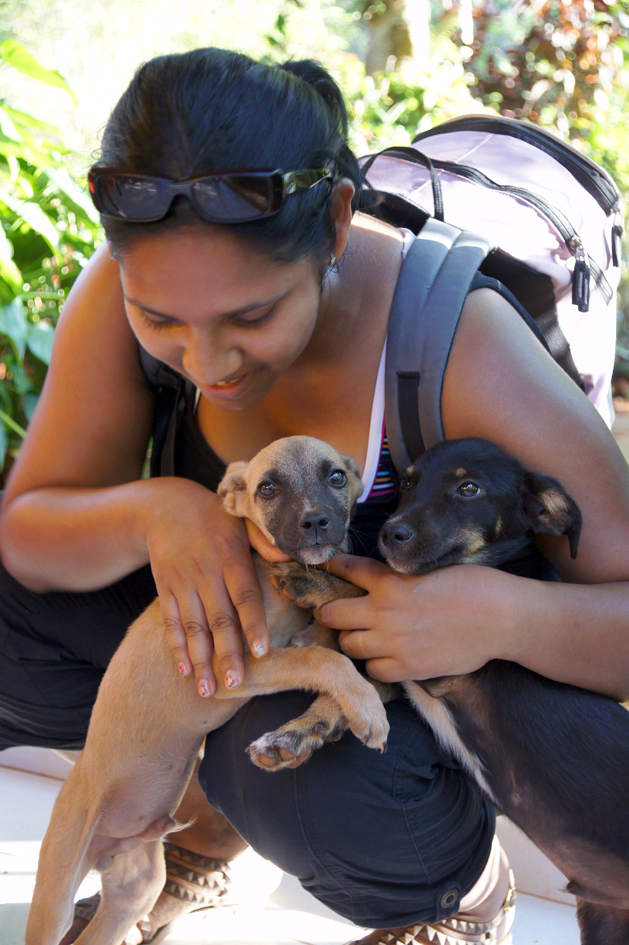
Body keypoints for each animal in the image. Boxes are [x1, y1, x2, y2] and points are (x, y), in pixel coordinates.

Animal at [28, 438, 388, 944]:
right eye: (267, 488)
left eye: (336, 477)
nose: (316, 522)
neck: (266, 573)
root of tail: (110, 846)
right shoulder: (232, 667)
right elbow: (322, 659)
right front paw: (367, 706)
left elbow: (328, 635)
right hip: (57, 895)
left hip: (133, 893)